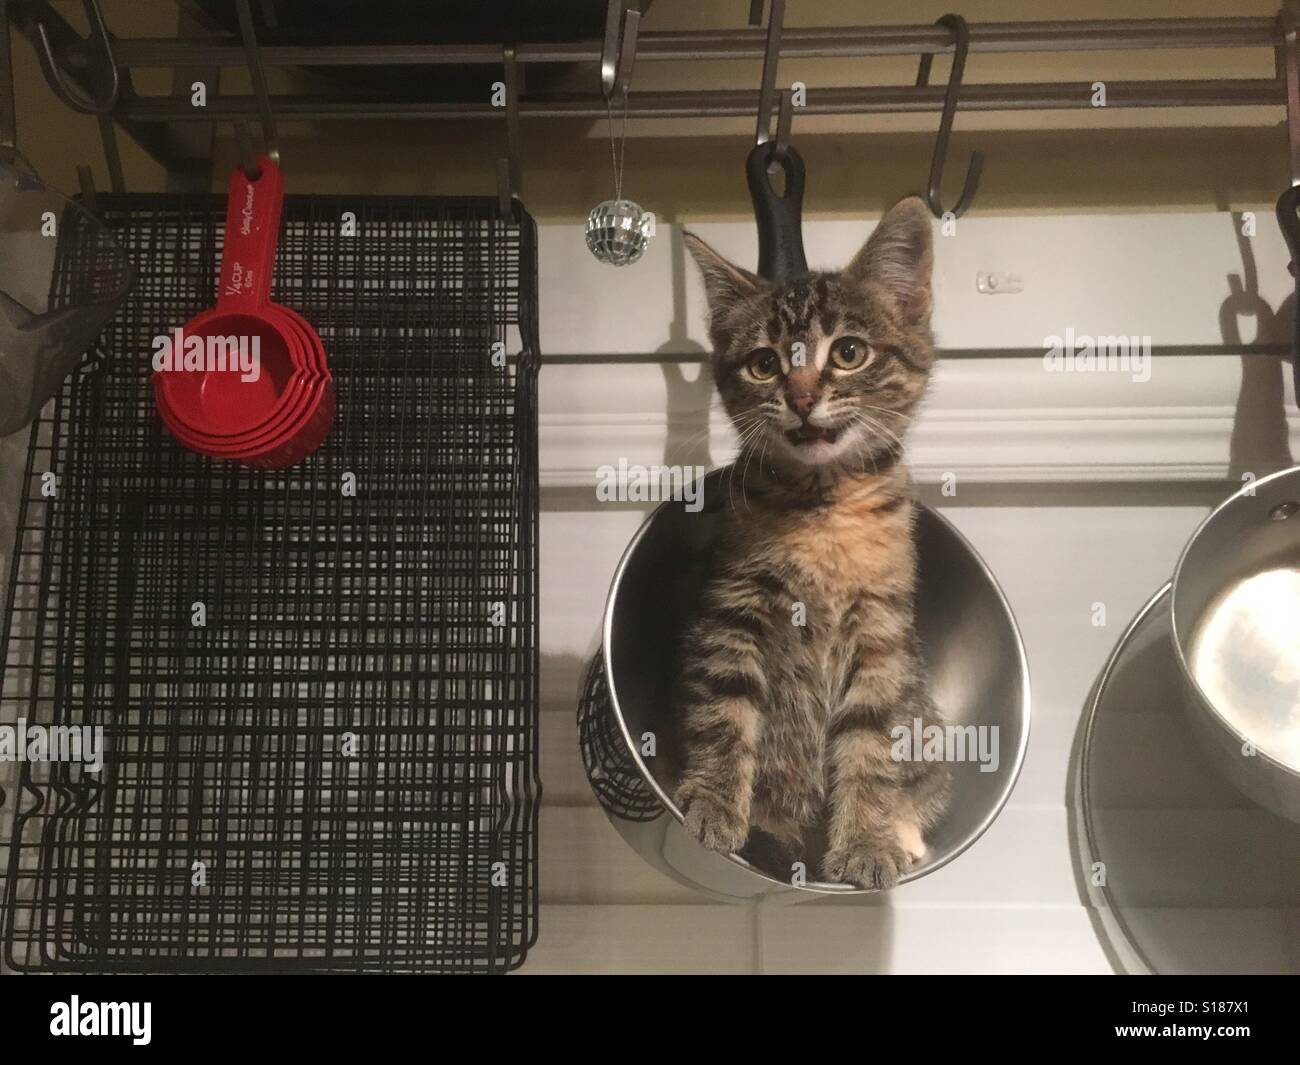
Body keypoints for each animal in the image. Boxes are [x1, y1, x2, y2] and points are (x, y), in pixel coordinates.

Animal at [676, 196, 951, 889]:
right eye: (764, 363)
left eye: (848, 352)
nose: (801, 399)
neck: (824, 507)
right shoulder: (735, 605)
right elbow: (726, 707)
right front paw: (716, 800)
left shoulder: (881, 632)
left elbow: (872, 738)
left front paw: (868, 839)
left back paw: (904, 833)